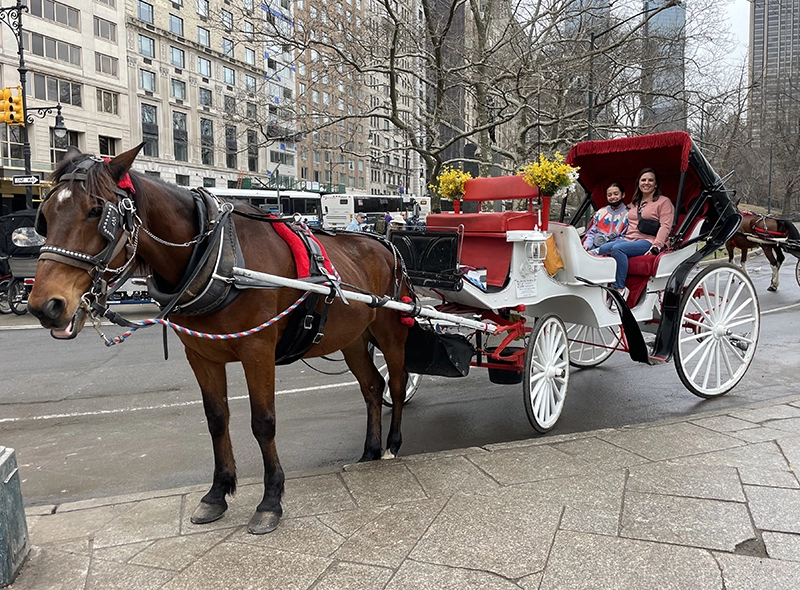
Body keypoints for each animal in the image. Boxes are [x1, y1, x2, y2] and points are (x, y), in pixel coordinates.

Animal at [25, 145, 412, 536]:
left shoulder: (257, 350)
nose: (45, 305)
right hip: (353, 338)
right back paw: (369, 451)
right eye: (45, 216)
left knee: (395, 384)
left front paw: (271, 499)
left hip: (391, 331)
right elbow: (216, 419)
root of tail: (384, 243)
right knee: (372, 387)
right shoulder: (200, 354)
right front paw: (218, 492)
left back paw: (393, 445)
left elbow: (263, 422)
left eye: (96, 211)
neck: (219, 260)